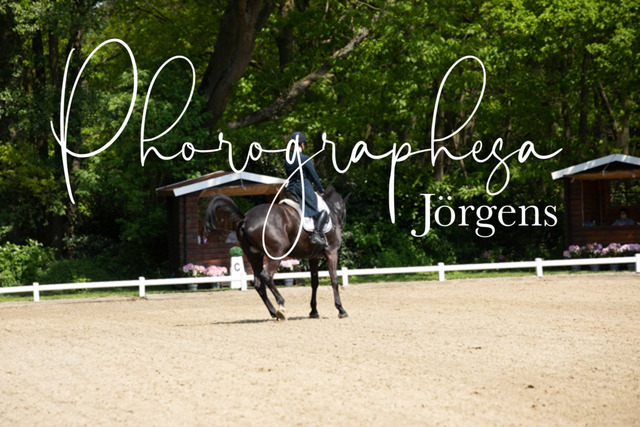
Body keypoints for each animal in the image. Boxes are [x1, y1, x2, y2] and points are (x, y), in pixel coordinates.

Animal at [204, 187, 349, 321]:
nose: (342, 224)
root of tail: (245, 218)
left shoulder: (313, 258)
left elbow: (315, 283)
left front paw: (313, 311)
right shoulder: (331, 252)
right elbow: (334, 280)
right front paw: (341, 310)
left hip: (254, 256)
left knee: (259, 284)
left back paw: (274, 312)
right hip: (277, 253)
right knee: (266, 276)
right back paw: (281, 305)